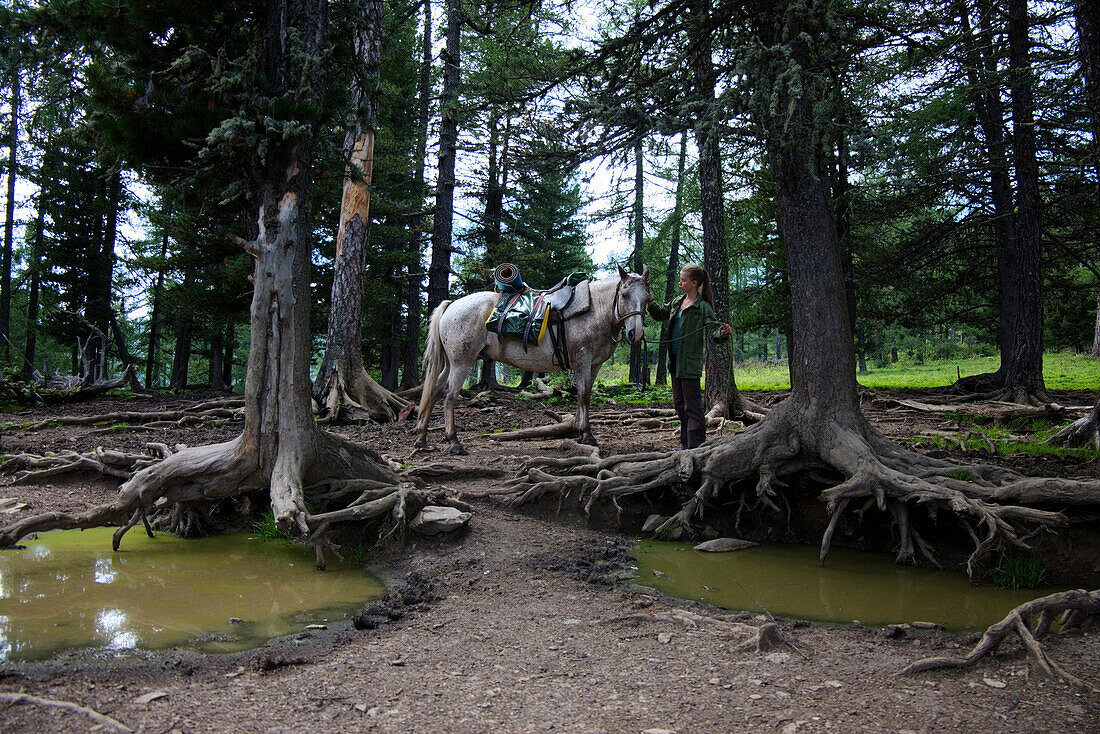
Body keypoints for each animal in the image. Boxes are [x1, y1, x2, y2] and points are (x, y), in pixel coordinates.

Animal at [415, 267, 646, 455]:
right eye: (624, 295)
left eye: (648, 299)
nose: (635, 334)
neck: (595, 309)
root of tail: (451, 305)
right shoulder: (582, 360)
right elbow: (582, 396)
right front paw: (587, 435)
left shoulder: (594, 365)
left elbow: (585, 394)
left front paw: (581, 433)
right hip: (462, 362)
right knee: (449, 396)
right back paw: (454, 442)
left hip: (450, 363)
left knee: (435, 391)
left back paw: (422, 439)